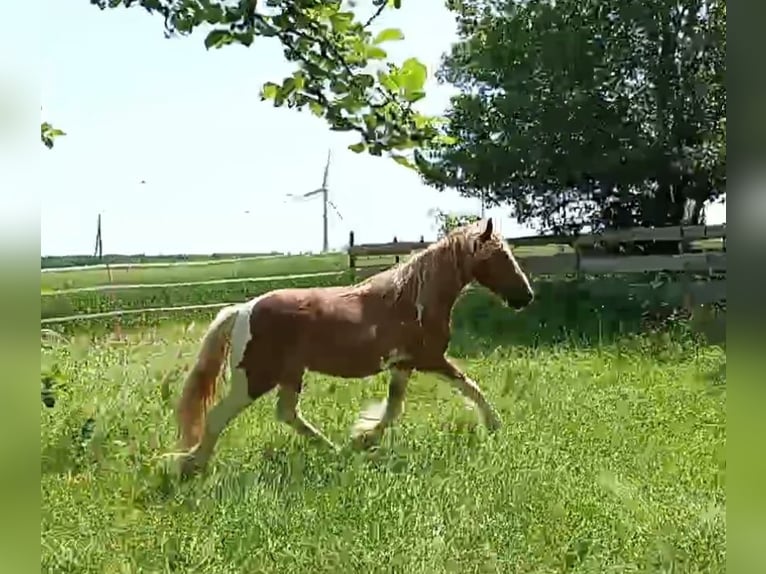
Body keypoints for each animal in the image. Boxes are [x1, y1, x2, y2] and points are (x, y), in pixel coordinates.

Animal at [169, 218, 534, 477]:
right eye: (499, 256)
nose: (526, 297)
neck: (412, 299)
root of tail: (243, 310)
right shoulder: (430, 359)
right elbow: (469, 386)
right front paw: (495, 426)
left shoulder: (403, 364)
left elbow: (393, 408)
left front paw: (362, 439)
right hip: (255, 378)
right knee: (218, 416)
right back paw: (192, 465)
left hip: (290, 374)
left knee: (287, 413)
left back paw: (334, 450)